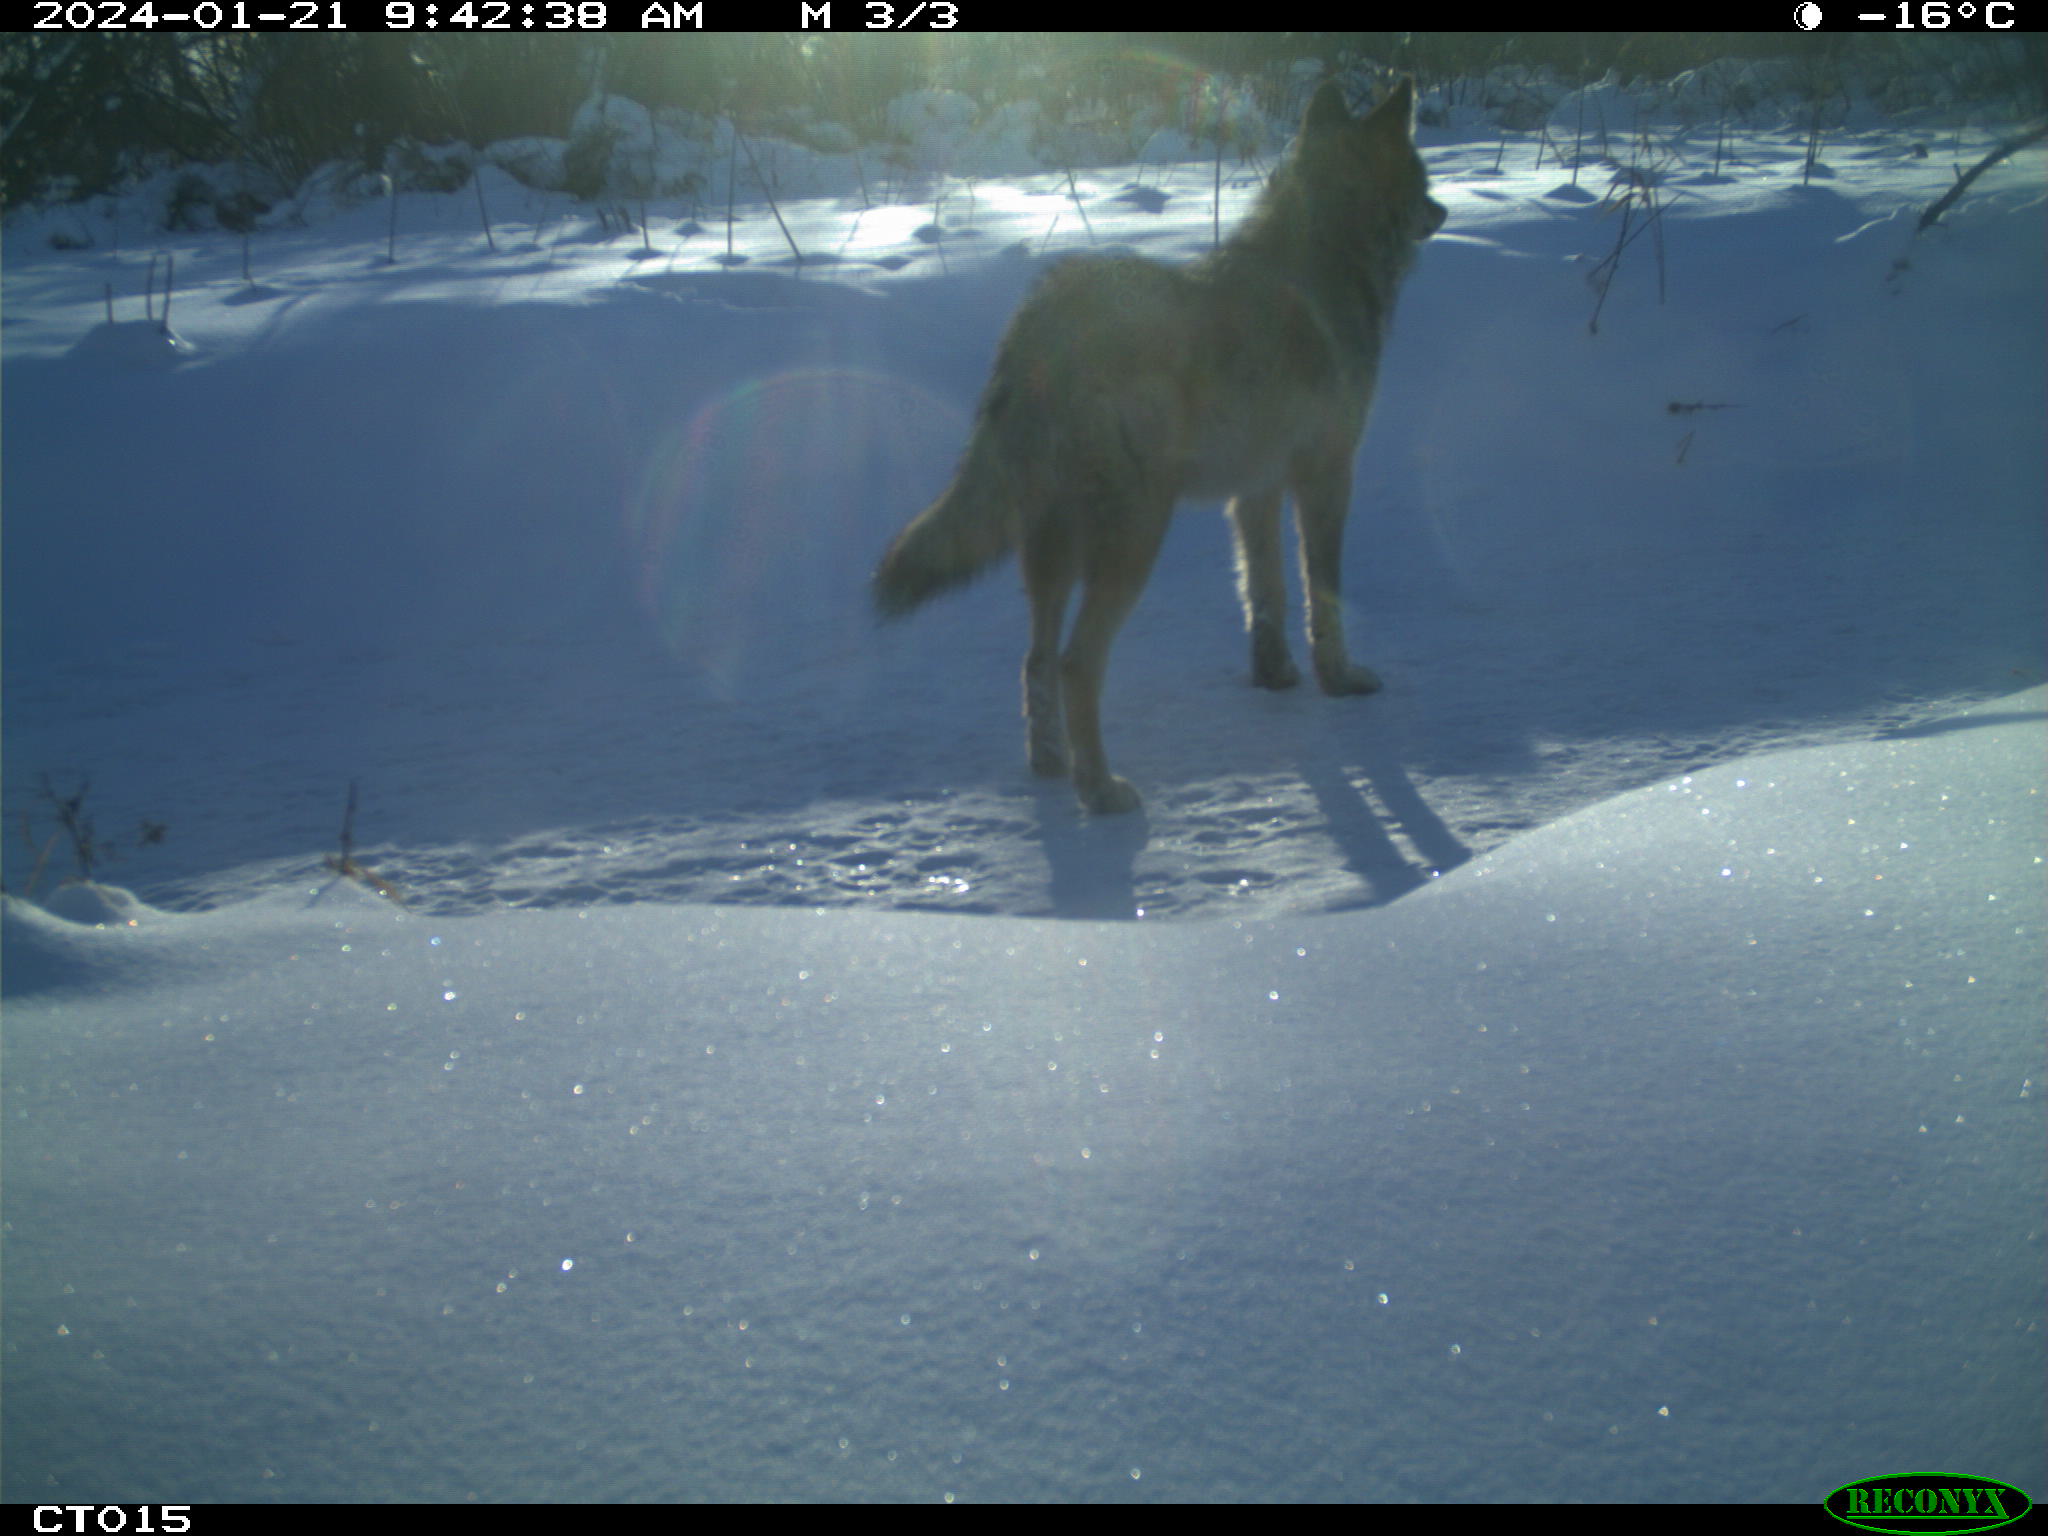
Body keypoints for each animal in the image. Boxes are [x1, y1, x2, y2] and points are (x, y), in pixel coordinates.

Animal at [872, 75, 1449, 819]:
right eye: (1421, 177)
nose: (1441, 210)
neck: (1328, 254)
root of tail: (1039, 325)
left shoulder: (1256, 490)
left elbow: (1265, 593)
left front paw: (1275, 677)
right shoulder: (1325, 476)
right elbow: (1324, 595)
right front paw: (1339, 679)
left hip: (1056, 549)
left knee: (1036, 661)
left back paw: (1054, 768)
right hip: (1137, 536)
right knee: (1075, 664)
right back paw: (1100, 790)